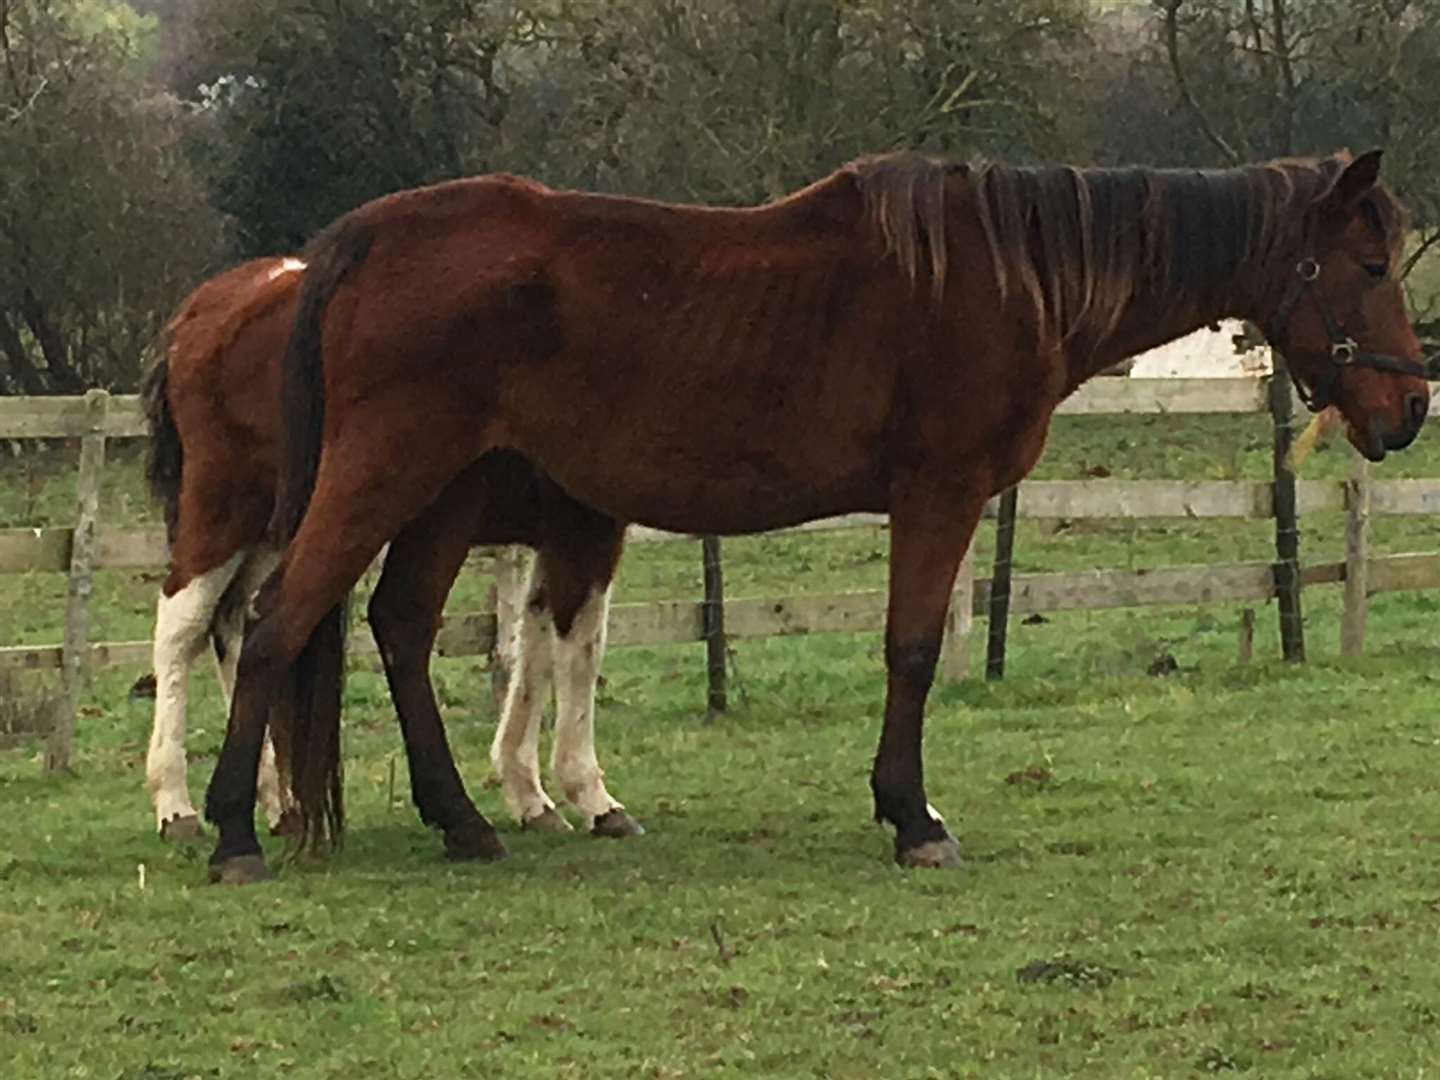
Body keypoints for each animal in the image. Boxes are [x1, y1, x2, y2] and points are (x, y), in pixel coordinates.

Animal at [138, 257, 642, 869]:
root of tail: (208, 307)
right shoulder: (585, 526)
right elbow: (579, 651)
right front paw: (590, 795)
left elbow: (535, 647)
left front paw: (528, 792)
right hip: (225, 511)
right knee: (181, 631)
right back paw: (175, 804)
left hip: (279, 528)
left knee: (236, 627)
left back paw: (277, 803)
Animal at [203, 148, 1428, 881]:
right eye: (1371, 262)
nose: (1413, 405)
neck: (1014, 277)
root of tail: (364, 238)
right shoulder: (939, 493)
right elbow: (914, 649)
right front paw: (913, 817)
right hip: (383, 475)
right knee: (271, 626)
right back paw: (230, 831)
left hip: (445, 494)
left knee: (399, 629)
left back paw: (459, 821)